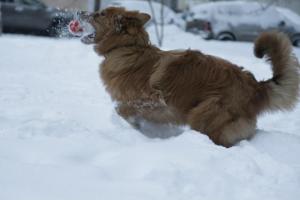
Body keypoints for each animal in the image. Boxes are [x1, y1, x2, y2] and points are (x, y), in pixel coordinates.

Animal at [79, 7, 300, 147]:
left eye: (100, 14)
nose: (80, 12)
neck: (127, 48)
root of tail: (255, 86)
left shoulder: (153, 101)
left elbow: (122, 109)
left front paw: (134, 126)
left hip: (203, 116)